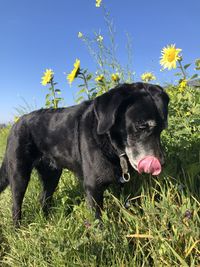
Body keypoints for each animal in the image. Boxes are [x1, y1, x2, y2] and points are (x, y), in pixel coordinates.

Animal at [0, 83, 169, 226]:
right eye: (142, 126)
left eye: (162, 129)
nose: (161, 164)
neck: (108, 140)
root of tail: (14, 124)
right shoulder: (93, 187)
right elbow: (98, 220)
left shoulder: (122, 184)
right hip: (19, 174)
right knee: (16, 205)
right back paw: (17, 229)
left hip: (52, 174)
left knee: (43, 199)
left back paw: (47, 221)